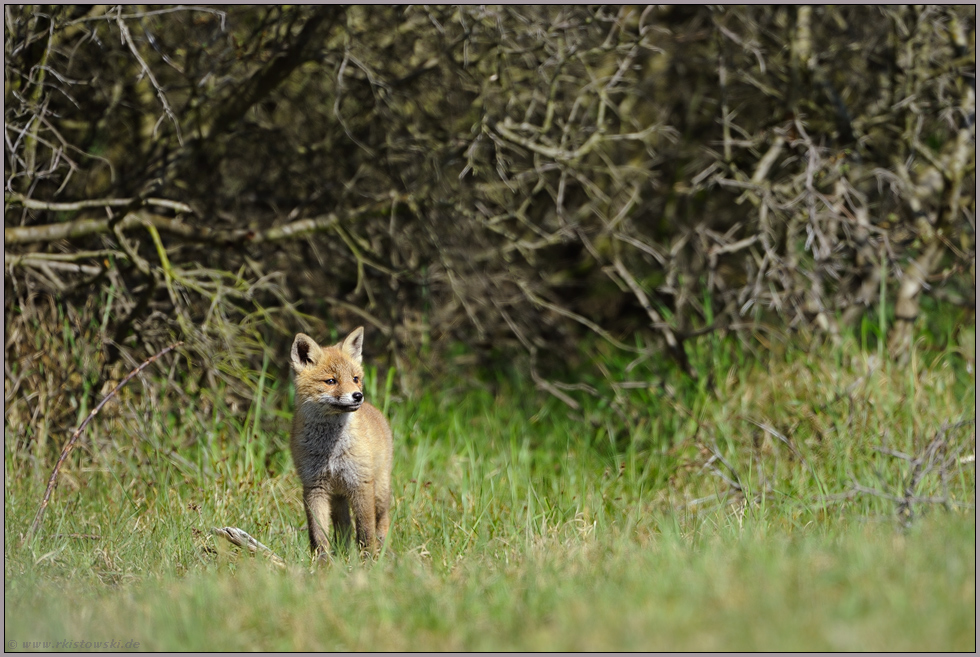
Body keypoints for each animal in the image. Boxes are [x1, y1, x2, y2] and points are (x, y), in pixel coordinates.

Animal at [290, 326, 392, 556]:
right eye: (331, 381)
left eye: (355, 378)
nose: (358, 396)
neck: (331, 451)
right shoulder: (314, 487)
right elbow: (318, 535)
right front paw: (322, 562)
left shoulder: (361, 483)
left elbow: (365, 531)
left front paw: (369, 560)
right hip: (338, 498)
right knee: (344, 529)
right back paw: (345, 556)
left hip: (380, 492)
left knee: (382, 522)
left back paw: (381, 552)